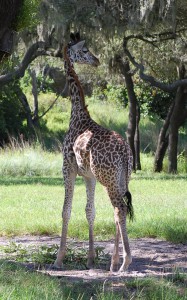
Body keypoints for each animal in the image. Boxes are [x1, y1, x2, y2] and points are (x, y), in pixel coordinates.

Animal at [53, 32, 134, 272]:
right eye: (85, 51)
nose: (97, 61)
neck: (78, 116)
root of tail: (126, 153)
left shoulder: (67, 168)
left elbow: (66, 210)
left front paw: (59, 259)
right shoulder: (89, 176)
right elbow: (90, 211)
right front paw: (89, 259)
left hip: (109, 179)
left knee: (119, 209)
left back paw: (125, 261)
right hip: (122, 178)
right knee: (119, 210)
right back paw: (114, 262)